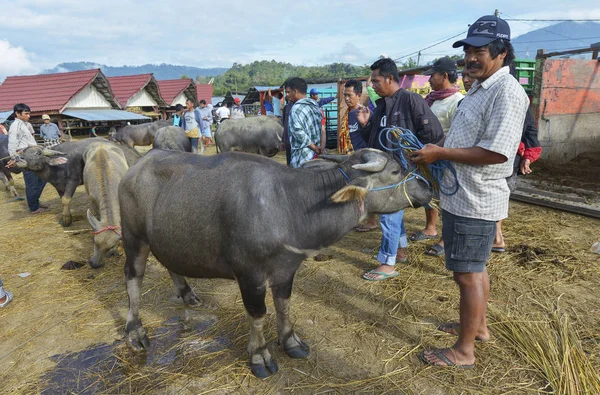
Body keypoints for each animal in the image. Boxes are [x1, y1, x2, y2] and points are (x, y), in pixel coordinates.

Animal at [118, 148, 432, 380]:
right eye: (395, 171)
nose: (426, 187)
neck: (289, 205)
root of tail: (135, 167)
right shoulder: (250, 276)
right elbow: (258, 315)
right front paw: (260, 355)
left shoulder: (286, 269)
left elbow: (284, 305)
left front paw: (291, 341)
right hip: (134, 238)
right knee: (133, 278)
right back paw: (136, 332)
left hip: (167, 238)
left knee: (171, 263)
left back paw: (187, 294)